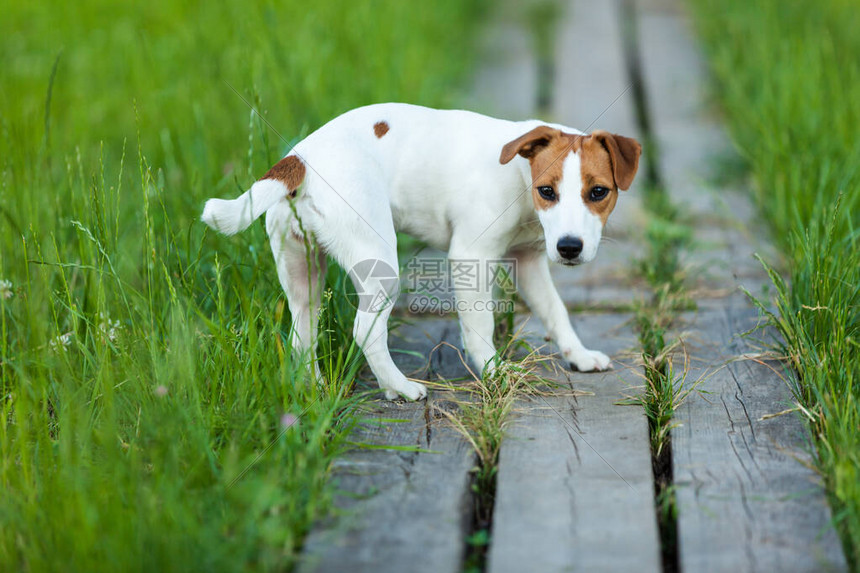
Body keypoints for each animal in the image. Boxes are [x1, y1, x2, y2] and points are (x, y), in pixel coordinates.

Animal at [203, 101, 640, 398]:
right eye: (547, 191)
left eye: (598, 192)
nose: (569, 248)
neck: (518, 175)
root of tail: (301, 159)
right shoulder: (471, 256)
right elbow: (480, 327)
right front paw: (495, 373)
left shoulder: (530, 261)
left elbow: (555, 311)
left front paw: (578, 354)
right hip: (380, 265)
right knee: (365, 330)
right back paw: (399, 386)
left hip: (300, 271)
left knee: (301, 334)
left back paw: (314, 387)